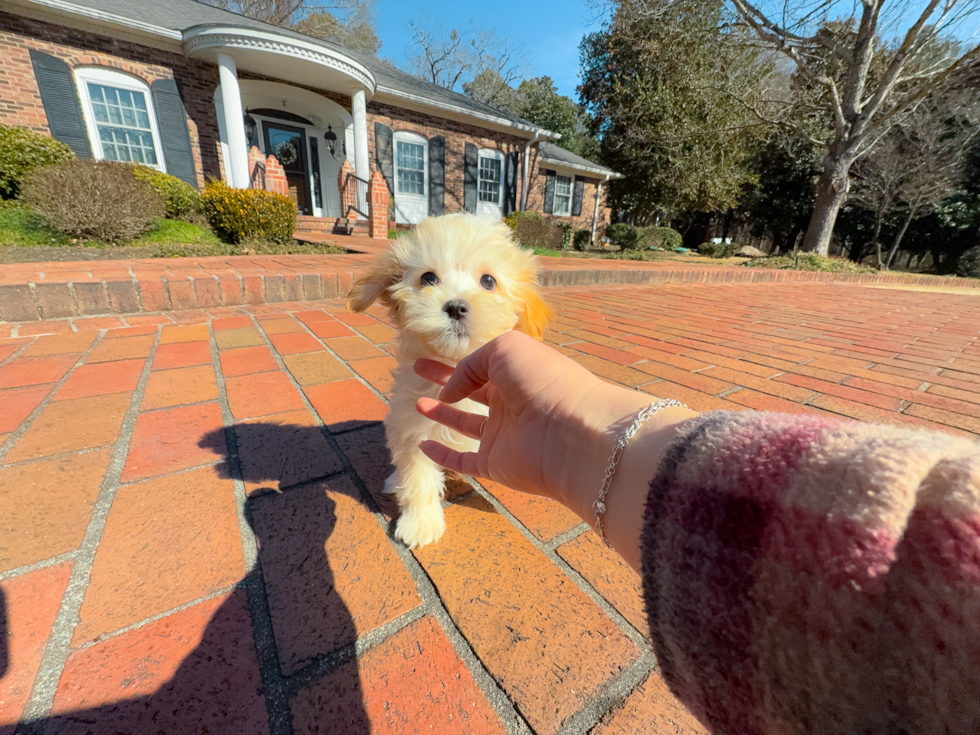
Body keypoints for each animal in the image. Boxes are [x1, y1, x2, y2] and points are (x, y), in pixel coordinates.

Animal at [346, 213, 552, 548]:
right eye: (428, 278)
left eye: (488, 281)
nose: (456, 306)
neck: (454, 366)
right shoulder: (412, 426)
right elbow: (417, 477)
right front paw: (420, 523)